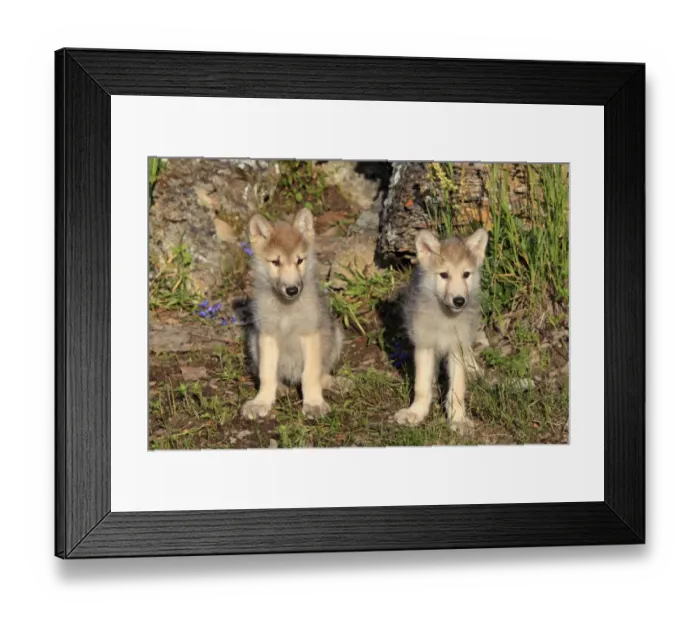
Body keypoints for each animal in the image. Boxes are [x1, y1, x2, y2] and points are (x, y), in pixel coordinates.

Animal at [242, 208, 344, 421]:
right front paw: (262, 401)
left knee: (322, 373)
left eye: (299, 260)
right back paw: (280, 389)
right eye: (275, 262)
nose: (292, 290)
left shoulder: (310, 335)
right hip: (253, 341)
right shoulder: (267, 335)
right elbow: (266, 374)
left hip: (336, 335)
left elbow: (310, 375)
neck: (286, 311)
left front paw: (314, 403)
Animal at [394, 228, 489, 433]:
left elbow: (457, 390)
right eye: (444, 275)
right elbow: (421, 385)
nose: (459, 300)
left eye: (466, 274)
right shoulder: (425, 345)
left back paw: (473, 369)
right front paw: (416, 412)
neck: (445, 319)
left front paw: (458, 420)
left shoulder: (456, 347)